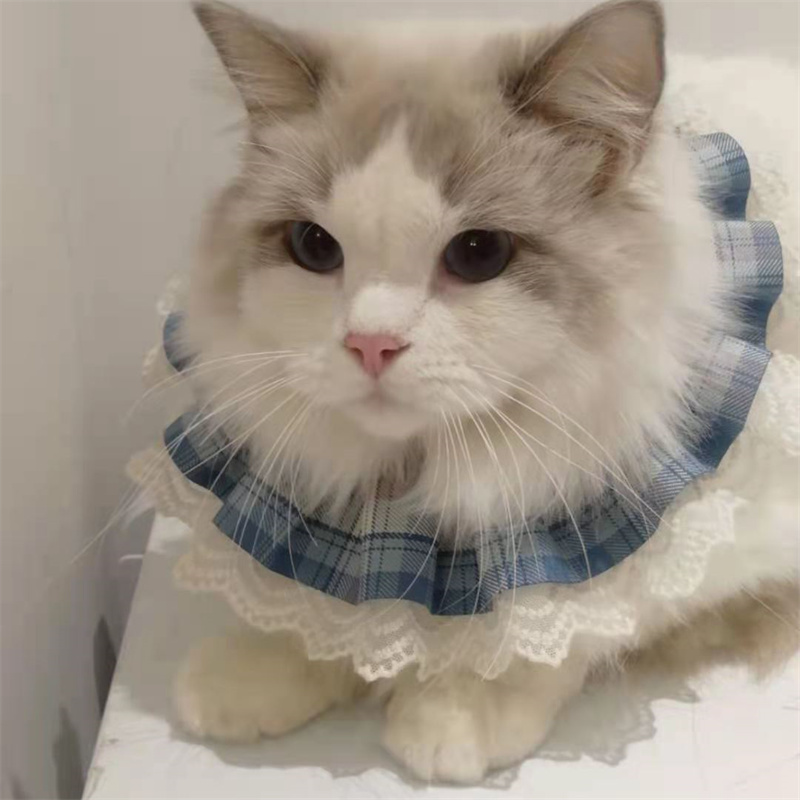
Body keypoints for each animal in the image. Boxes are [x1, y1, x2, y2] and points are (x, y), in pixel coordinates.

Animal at [172, 0, 798, 782]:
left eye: (479, 254)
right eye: (313, 247)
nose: (370, 344)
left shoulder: (723, 530)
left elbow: (575, 623)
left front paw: (457, 712)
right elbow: (307, 610)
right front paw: (251, 673)